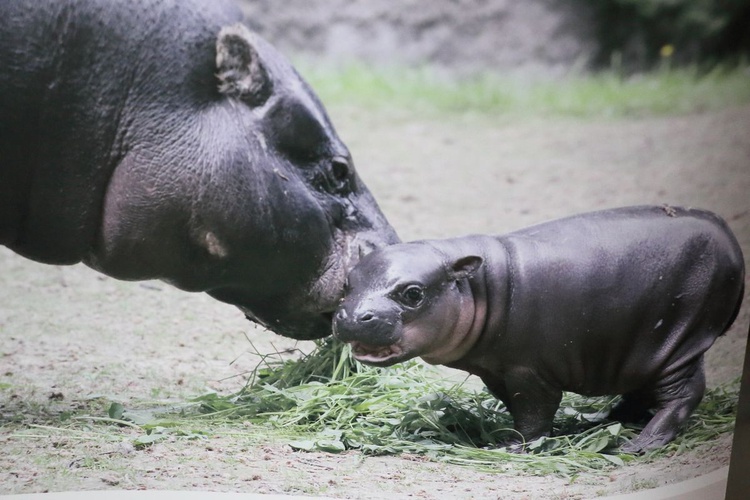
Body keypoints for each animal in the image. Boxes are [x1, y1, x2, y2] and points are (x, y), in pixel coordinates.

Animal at [334, 206, 748, 454]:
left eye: (413, 293)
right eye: (348, 283)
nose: (352, 316)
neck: (479, 286)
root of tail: (725, 232)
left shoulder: (528, 371)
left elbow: (534, 413)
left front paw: (511, 447)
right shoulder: (497, 370)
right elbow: (516, 406)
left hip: (680, 342)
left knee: (682, 394)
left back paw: (638, 445)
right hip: (640, 349)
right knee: (641, 392)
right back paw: (602, 420)